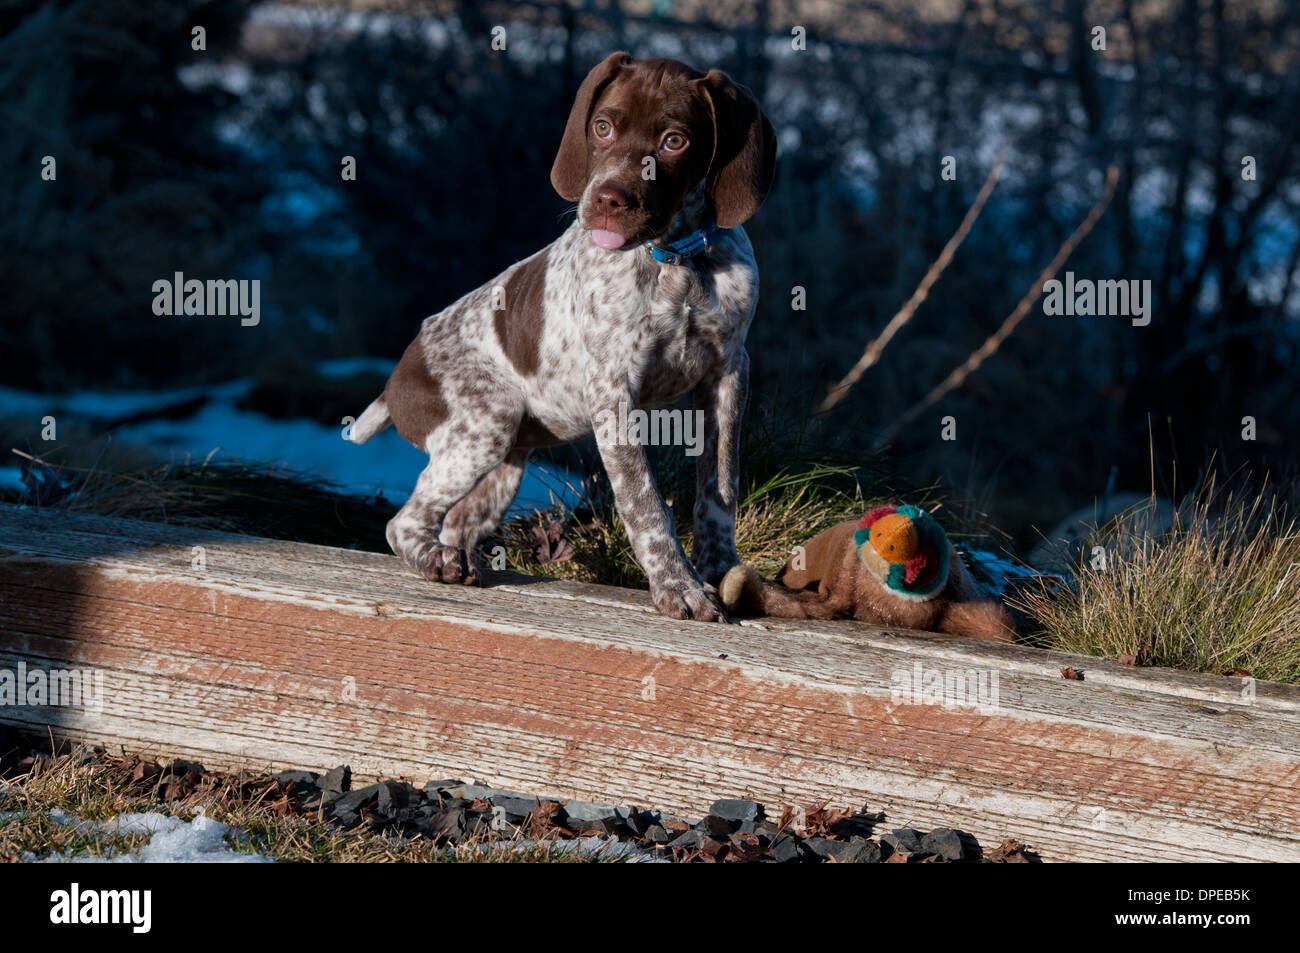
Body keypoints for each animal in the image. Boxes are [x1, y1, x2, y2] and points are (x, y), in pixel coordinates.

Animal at [343, 52, 769, 621]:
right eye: (602, 127)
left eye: (674, 141)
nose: (608, 199)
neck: (675, 260)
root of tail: (396, 381)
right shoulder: (612, 391)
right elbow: (644, 503)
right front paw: (677, 586)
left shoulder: (727, 374)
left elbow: (719, 488)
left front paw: (721, 570)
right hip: (486, 423)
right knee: (403, 521)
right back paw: (437, 561)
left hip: (504, 462)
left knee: (455, 520)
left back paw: (459, 559)